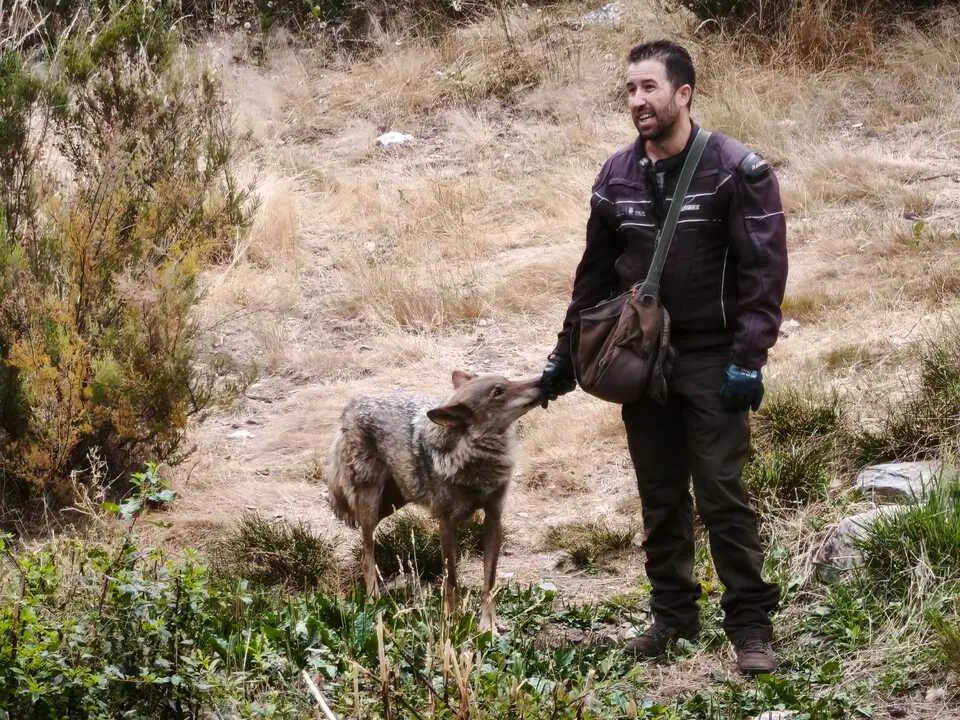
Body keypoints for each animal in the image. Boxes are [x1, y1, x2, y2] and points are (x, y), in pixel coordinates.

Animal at [326, 369, 544, 631]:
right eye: (498, 392)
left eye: (508, 381)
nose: (541, 381)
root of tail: (353, 405)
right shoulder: (446, 523)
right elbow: (451, 579)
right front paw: (451, 621)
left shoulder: (494, 518)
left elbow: (489, 581)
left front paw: (488, 624)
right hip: (371, 504)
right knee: (367, 549)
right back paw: (372, 598)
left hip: (391, 504)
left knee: (363, 545)